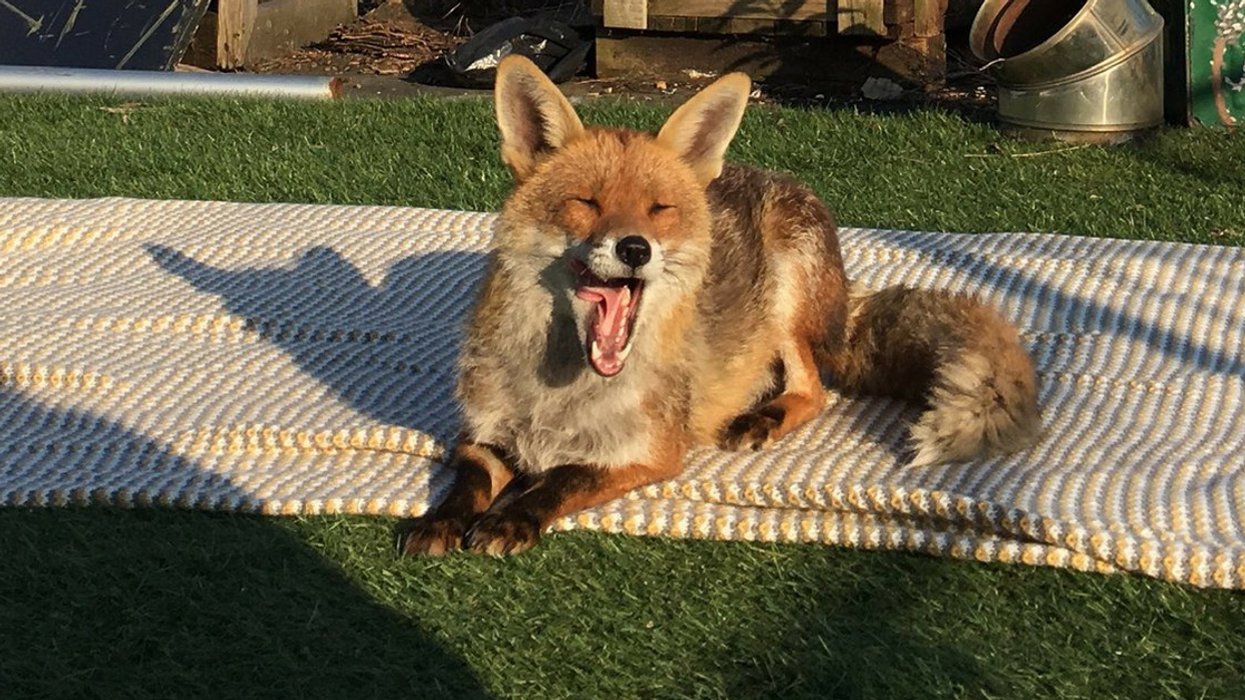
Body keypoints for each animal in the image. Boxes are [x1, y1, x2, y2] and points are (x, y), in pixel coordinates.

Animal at [399, 55, 1042, 557]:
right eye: (587, 202)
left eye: (659, 209)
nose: (635, 248)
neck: (560, 392)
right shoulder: (480, 435)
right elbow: (467, 483)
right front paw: (441, 521)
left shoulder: (653, 453)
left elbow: (560, 479)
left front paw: (513, 516)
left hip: (786, 292)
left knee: (814, 389)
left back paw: (763, 416)